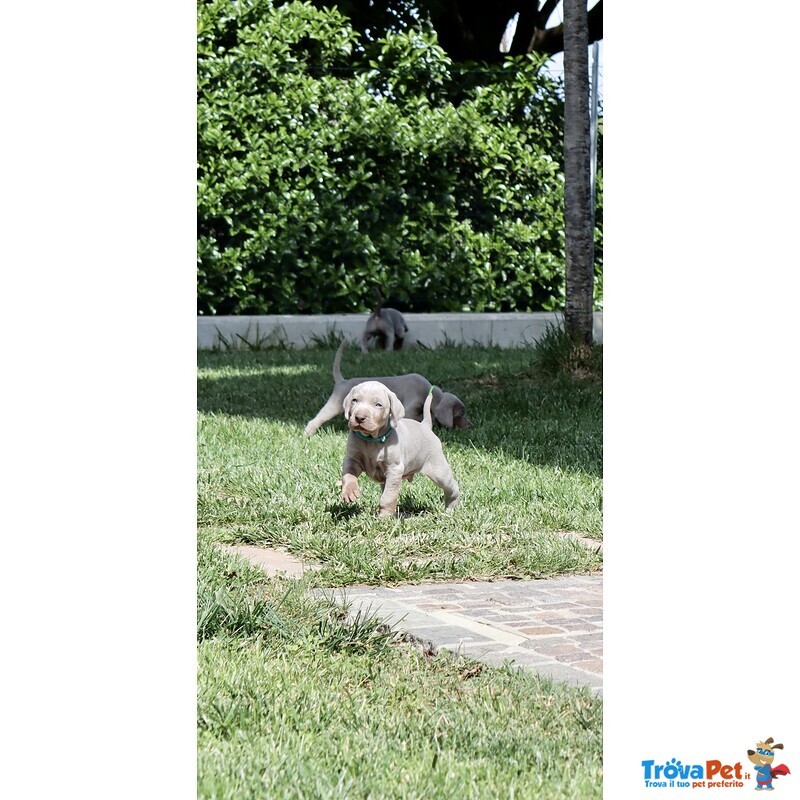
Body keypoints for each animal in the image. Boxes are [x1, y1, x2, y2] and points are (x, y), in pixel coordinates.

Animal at [304, 340, 468, 438]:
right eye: (460, 414)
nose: (470, 425)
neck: (429, 390)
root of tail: (342, 381)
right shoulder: (411, 405)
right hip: (334, 404)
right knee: (316, 419)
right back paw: (307, 433)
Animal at [340, 378, 462, 516]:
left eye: (378, 404)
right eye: (354, 400)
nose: (359, 417)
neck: (371, 440)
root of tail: (424, 425)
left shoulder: (394, 469)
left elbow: (388, 497)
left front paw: (384, 517)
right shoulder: (352, 459)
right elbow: (349, 474)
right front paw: (349, 492)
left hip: (438, 470)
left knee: (452, 487)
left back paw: (450, 508)